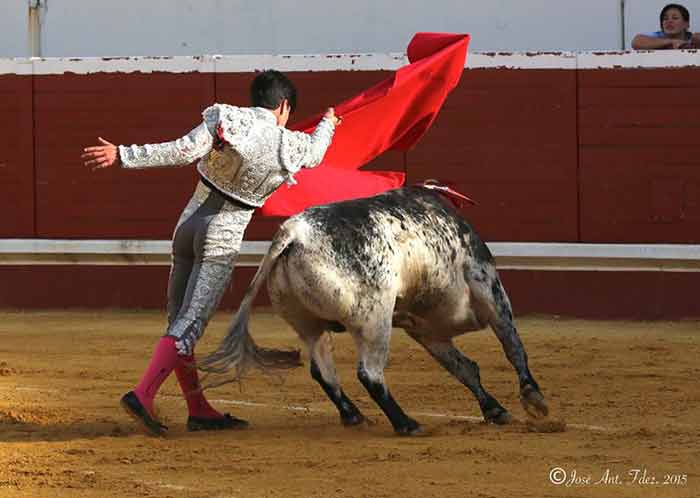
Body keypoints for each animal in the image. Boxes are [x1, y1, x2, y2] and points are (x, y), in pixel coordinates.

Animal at [200, 185, 548, 434]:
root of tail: (294, 233)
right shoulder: (488, 286)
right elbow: (512, 345)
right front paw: (534, 400)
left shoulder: (425, 330)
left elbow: (463, 368)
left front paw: (495, 410)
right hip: (374, 319)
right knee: (369, 373)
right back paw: (407, 424)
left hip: (307, 324)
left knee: (322, 370)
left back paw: (354, 416)